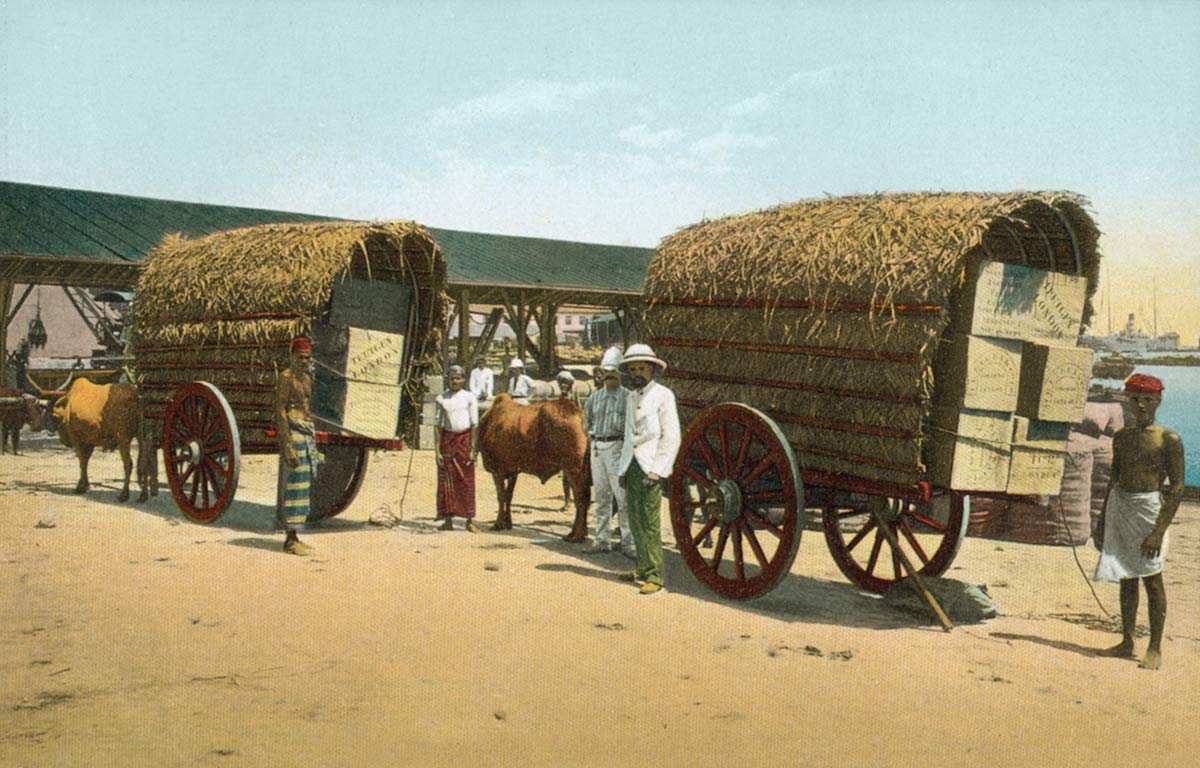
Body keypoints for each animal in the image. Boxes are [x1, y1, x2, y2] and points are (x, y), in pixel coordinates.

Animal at [477, 393, 590, 537]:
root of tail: (578, 414)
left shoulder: (498, 471)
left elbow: (501, 496)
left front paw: (498, 524)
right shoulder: (513, 472)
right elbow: (508, 496)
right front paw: (508, 523)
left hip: (574, 470)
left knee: (580, 499)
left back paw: (575, 535)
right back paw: (581, 533)